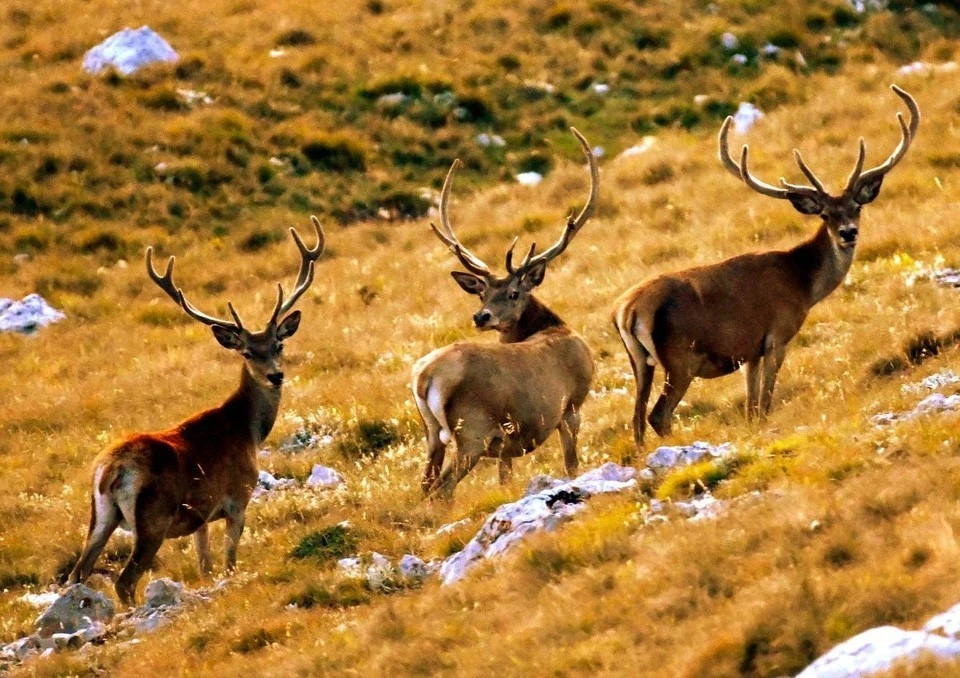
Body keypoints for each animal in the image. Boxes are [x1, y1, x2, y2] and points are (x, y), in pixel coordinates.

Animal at [66, 219, 326, 604]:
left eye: (278, 345)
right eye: (247, 352)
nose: (276, 375)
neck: (248, 432)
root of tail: (110, 470)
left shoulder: (200, 518)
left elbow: (205, 565)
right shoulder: (237, 498)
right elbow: (229, 562)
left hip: (99, 516)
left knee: (77, 574)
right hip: (152, 518)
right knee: (124, 580)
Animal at [414, 127, 600, 500]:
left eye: (512, 293)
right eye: (483, 293)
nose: (481, 317)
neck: (556, 327)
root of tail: (424, 377)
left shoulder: (506, 444)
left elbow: (505, 477)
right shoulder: (572, 405)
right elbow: (572, 463)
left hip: (432, 435)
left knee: (424, 486)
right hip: (471, 430)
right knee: (442, 490)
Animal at [612, 85, 920, 452]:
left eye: (856, 207)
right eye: (825, 214)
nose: (848, 233)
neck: (803, 284)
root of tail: (628, 310)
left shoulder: (750, 350)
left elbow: (750, 406)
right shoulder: (778, 334)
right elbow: (766, 402)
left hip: (640, 363)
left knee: (636, 418)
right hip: (680, 357)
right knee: (658, 415)